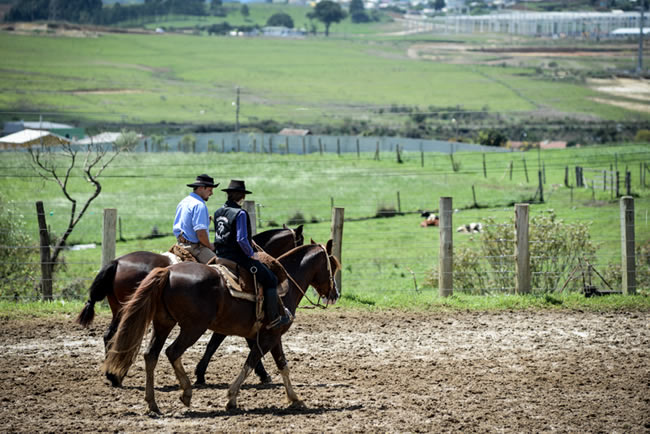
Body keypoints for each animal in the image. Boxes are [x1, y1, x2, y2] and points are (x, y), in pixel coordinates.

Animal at [76, 224, 304, 386]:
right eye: (298, 241)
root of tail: (116, 262)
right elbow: (220, 344)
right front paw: (263, 374)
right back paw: (115, 375)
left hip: (120, 310)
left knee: (110, 335)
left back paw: (113, 374)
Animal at [101, 241, 340, 414]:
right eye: (333, 266)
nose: (335, 294)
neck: (284, 287)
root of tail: (168, 271)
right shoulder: (269, 336)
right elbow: (251, 362)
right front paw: (231, 397)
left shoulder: (268, 336)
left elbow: (282, 365)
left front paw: (294, 398)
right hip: (192, 328)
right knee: (172, 352)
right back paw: (185, 393)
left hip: (163, 324)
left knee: (151, 355)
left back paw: (152, 403)